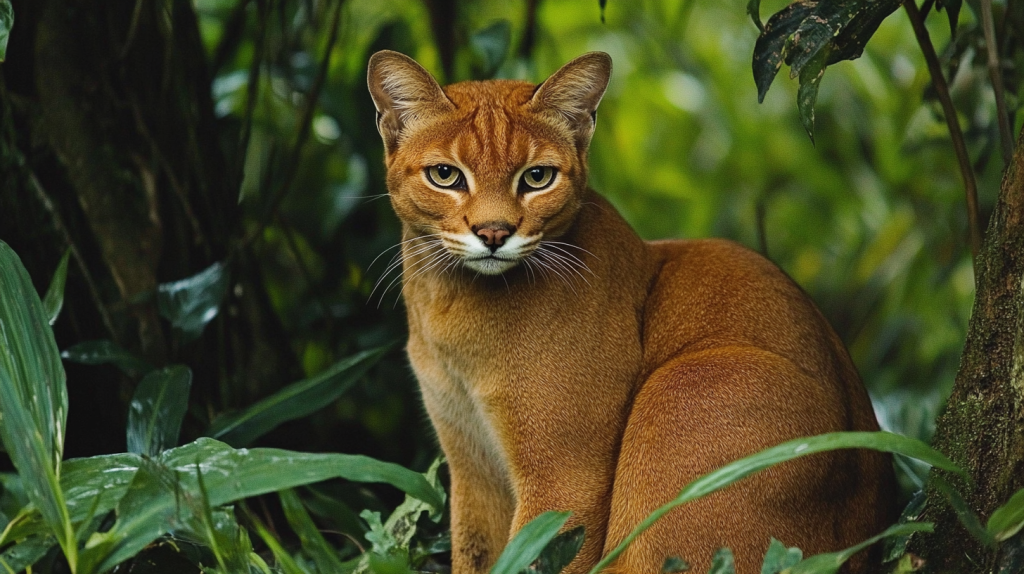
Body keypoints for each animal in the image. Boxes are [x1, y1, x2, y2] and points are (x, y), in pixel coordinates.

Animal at [368, 49, 897, 572]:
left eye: (537, 177)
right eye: (445, 175)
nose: (494, 232)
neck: (452, 304)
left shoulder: (564, 479)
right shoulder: (472, 467)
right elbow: (477, 554)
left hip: (688, 389)